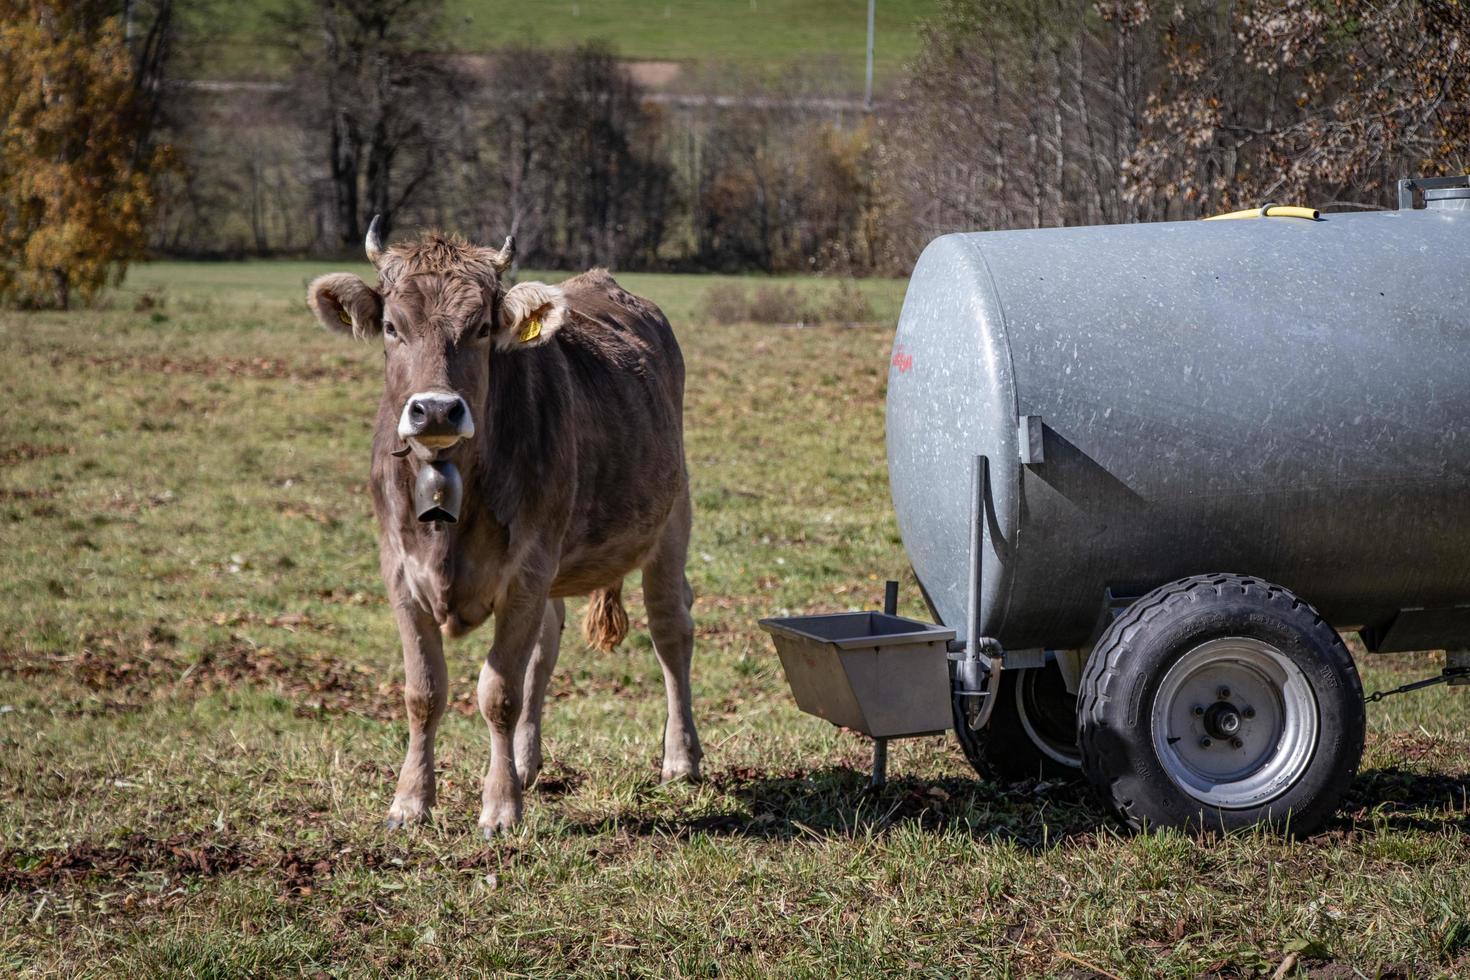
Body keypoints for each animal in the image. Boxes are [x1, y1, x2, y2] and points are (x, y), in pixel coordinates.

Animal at [302, 221, 699, 834]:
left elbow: (499, 694)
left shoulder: (526, 570)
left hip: (670, 516)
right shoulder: (400, 574)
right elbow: (424, 691)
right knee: (546, 646)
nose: (436, 411)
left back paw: (680, 758)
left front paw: (500, 807)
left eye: (482, 328)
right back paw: (526, 762)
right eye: (392, 326)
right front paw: (410, 801)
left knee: (670, 627)